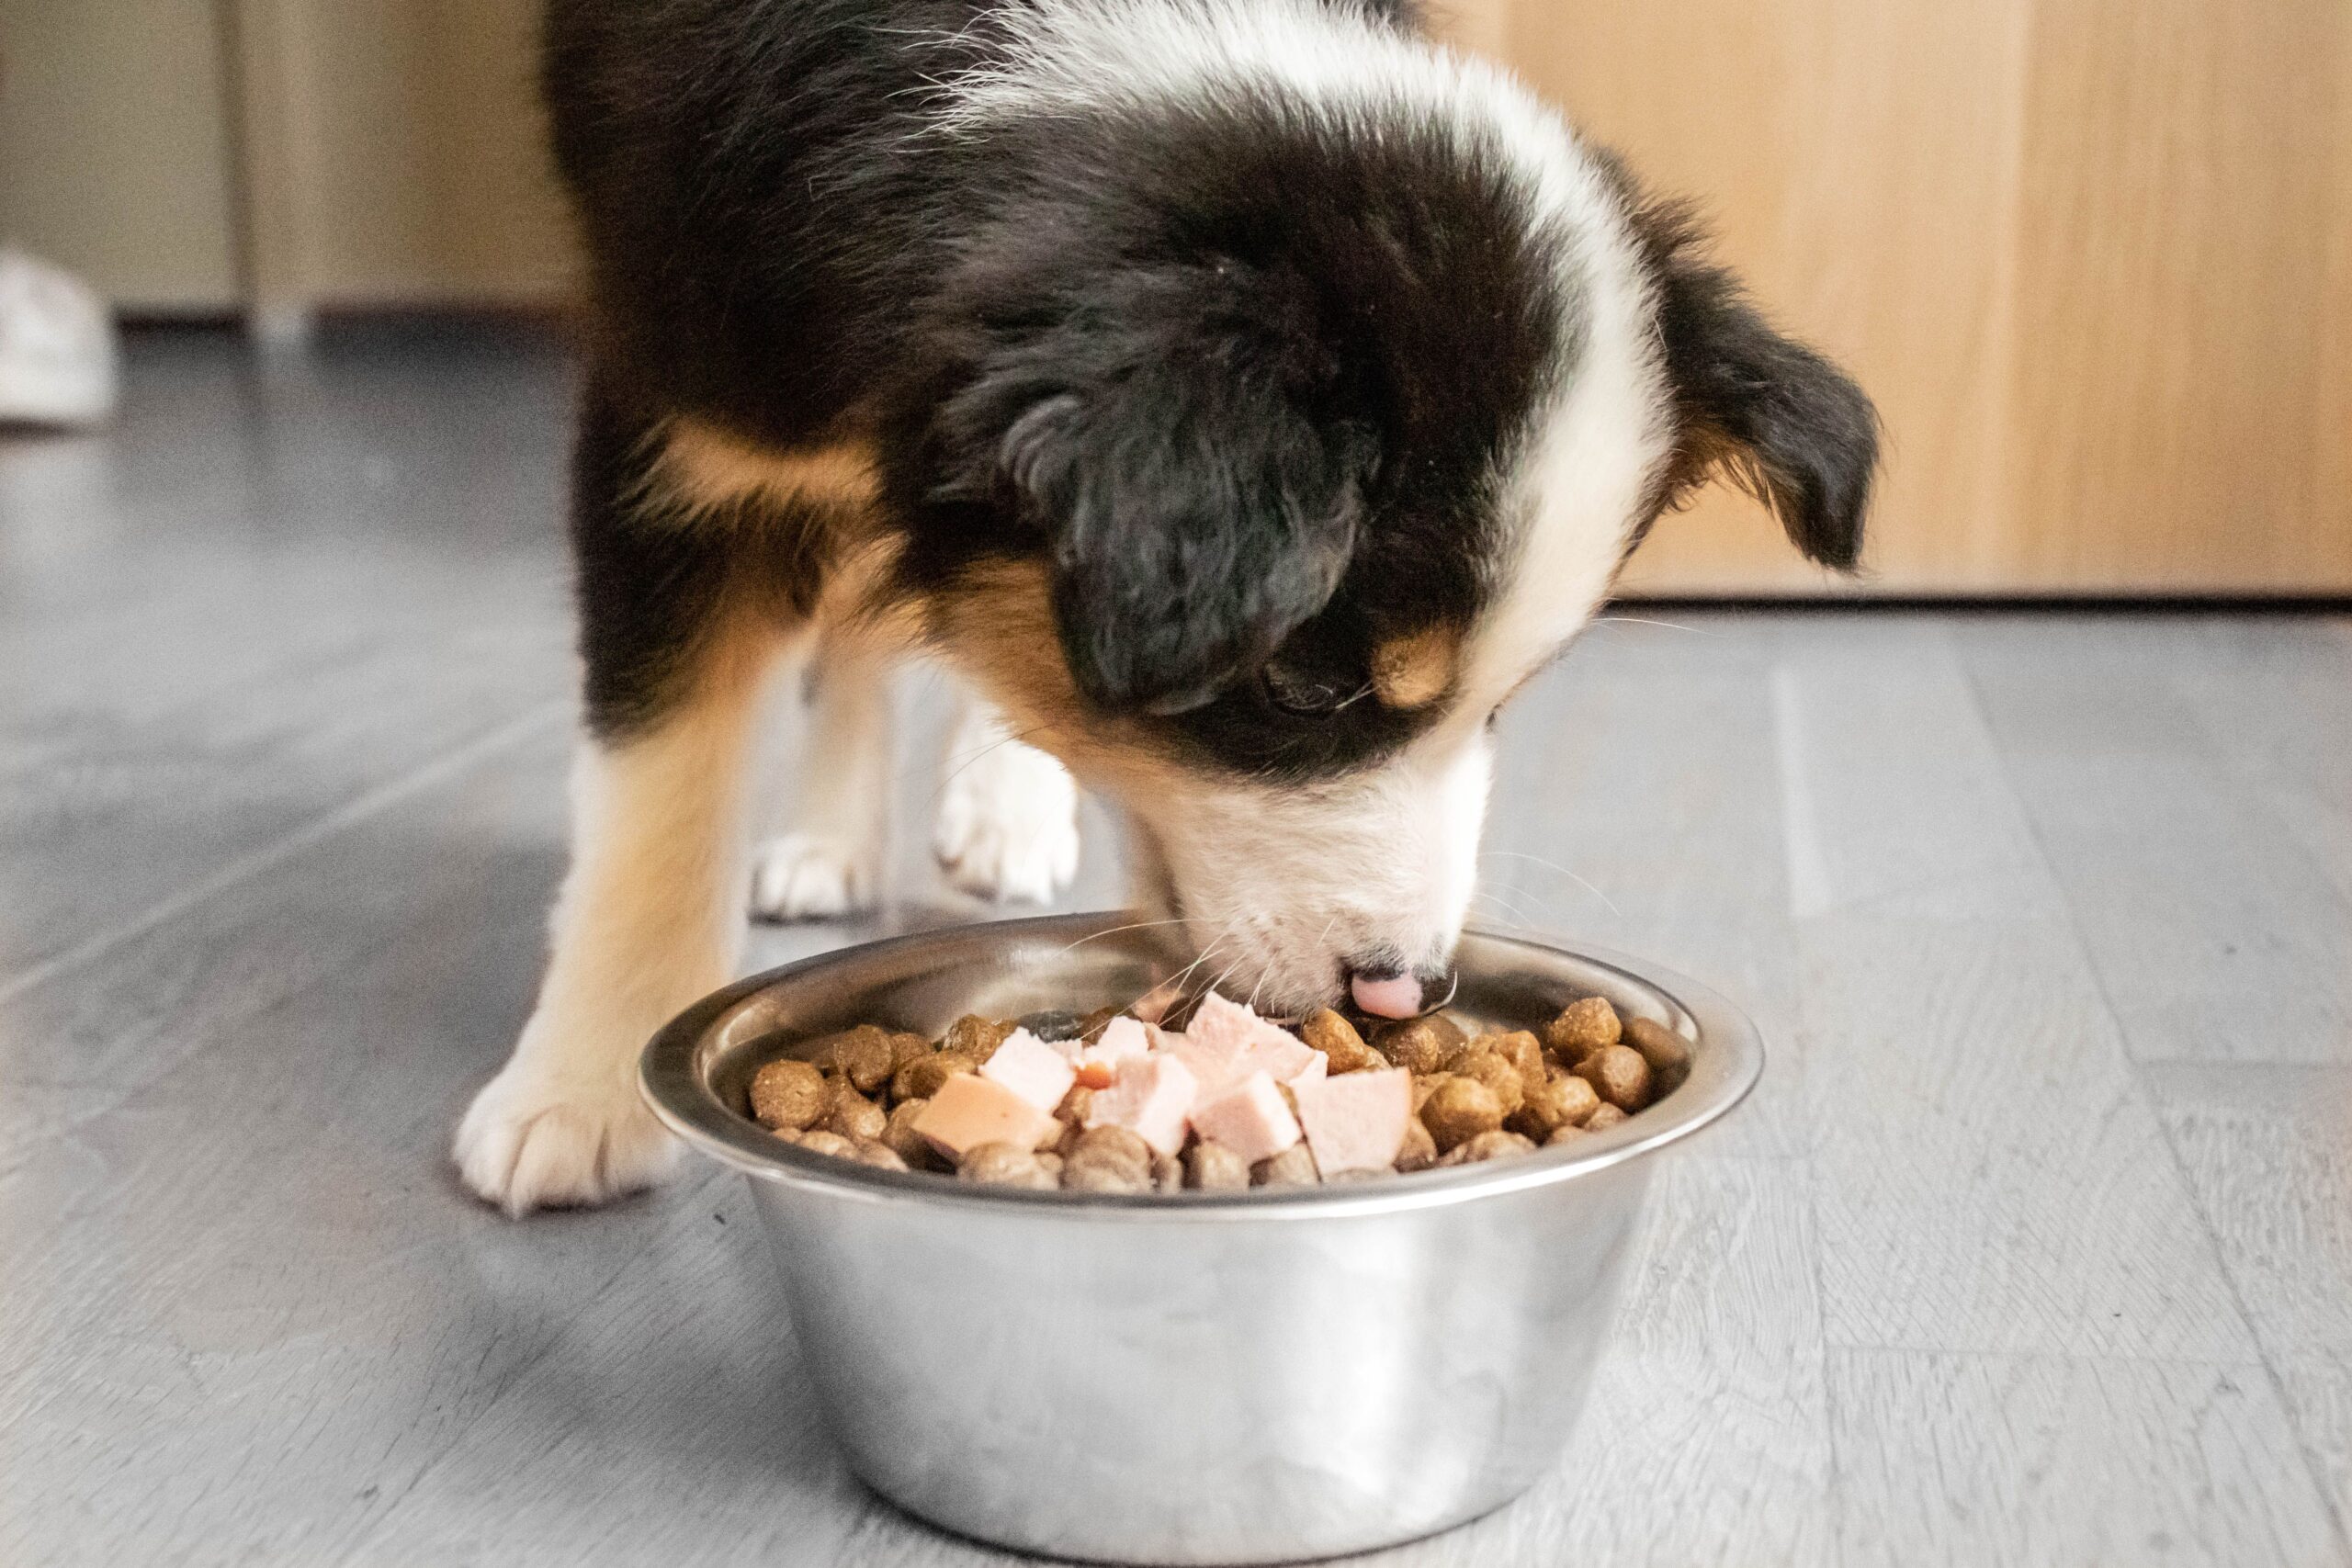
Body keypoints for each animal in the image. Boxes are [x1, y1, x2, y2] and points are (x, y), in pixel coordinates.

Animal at [458, 0, 1882, 1213]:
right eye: (1303, 681)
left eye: (1505, 701)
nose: (1405, 996)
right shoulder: (679, 414)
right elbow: (657, 781)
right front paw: (577, 1093)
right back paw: (831, 838)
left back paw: (1001, 805)